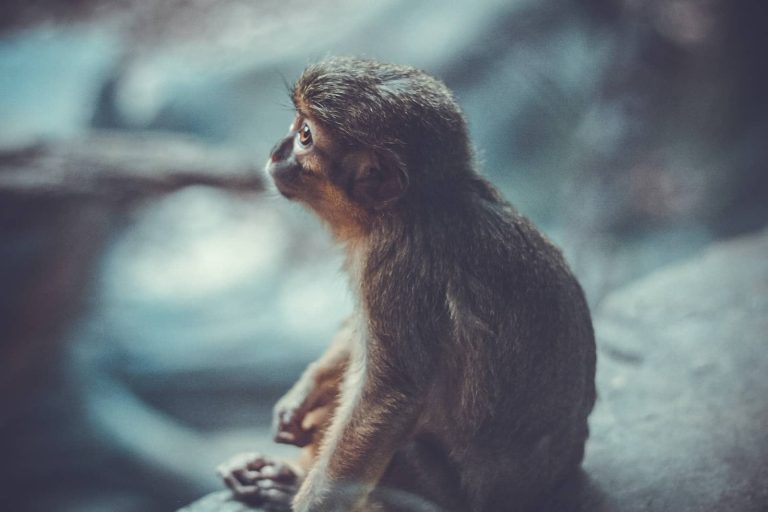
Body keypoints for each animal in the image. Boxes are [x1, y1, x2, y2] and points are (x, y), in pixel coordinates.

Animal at [217, 57, 596, 512]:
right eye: (296, 126)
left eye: (305, 136)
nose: (277, 150)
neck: (411, 208)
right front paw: (302, 394)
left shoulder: (396, 263)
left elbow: (387, 398)